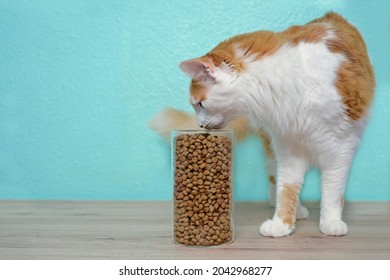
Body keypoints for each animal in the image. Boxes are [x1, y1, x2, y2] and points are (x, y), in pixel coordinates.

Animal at [149, 12, 374, 237]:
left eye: (200, 104)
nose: (201, 125)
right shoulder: (288, 148)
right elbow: (287, 189)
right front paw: (282, 223)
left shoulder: (341, 148)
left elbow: (332, 190)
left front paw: (331, 221)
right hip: (273, 147)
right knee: (275, 179)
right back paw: (296, 210)